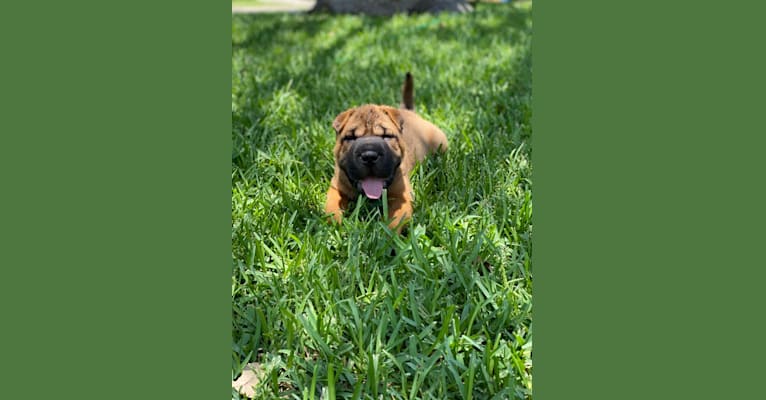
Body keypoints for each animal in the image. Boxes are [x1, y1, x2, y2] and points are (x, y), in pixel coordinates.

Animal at [326, 73, 450, 233]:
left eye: (386, 136)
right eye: (350, 138)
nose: (369, 155)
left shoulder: (402, 196)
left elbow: (395, 220)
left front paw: (386, 235)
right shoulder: (335, 188)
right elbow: (331, 209)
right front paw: (337, 225)